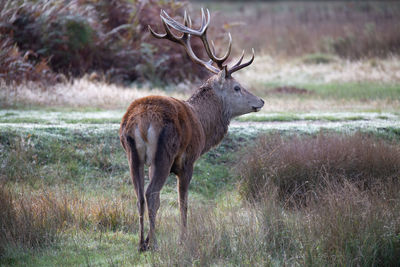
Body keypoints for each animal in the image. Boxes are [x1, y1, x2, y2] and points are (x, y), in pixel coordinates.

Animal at [119, 7, 262, 251]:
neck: (203, 126)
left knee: (139, 195)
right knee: (152, 193)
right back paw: (153, 243)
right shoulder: (187, 161)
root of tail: (139, 121)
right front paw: (183, 238)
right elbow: (183, 202)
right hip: (163, 153)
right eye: (237, 87)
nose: (260, 101)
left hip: (132, 153)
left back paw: (141, 243)